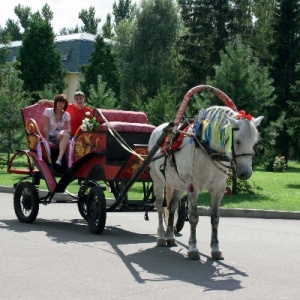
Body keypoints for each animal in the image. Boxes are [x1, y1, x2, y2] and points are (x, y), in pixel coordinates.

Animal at [149, 105, 264, 260]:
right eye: (238, 141)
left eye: (255, 143)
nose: (245, 173)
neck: (207, 150)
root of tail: (159, 129)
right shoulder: (193, 188)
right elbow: (193, 217)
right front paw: (193, 248)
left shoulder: (218, 189)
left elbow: (215, 218)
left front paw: (216, 249)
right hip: (158, 180)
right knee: (160, 206)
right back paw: (161, 237)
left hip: (179, 184)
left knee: (172, 206)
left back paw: (171, 237)